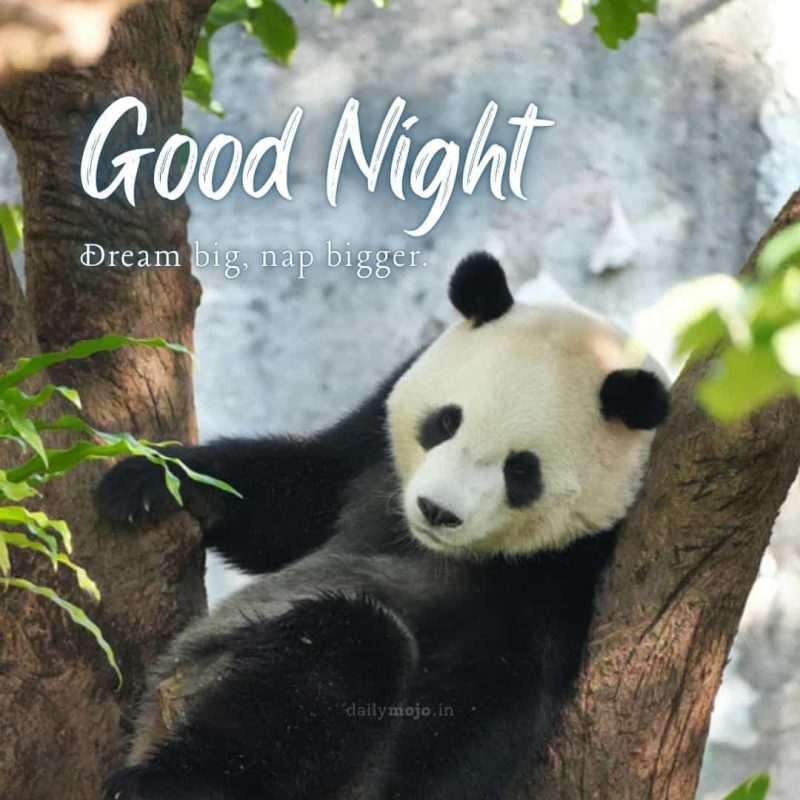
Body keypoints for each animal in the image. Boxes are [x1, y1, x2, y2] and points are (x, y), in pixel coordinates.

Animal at [97, 253, 669, 800]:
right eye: (446, 422)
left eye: (521, 470)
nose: (437, 510)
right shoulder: (370, 447)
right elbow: (295, 500)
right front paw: (147, 484)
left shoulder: (569, 568)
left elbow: (497, 688)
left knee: (346, 648)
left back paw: (173, 780)